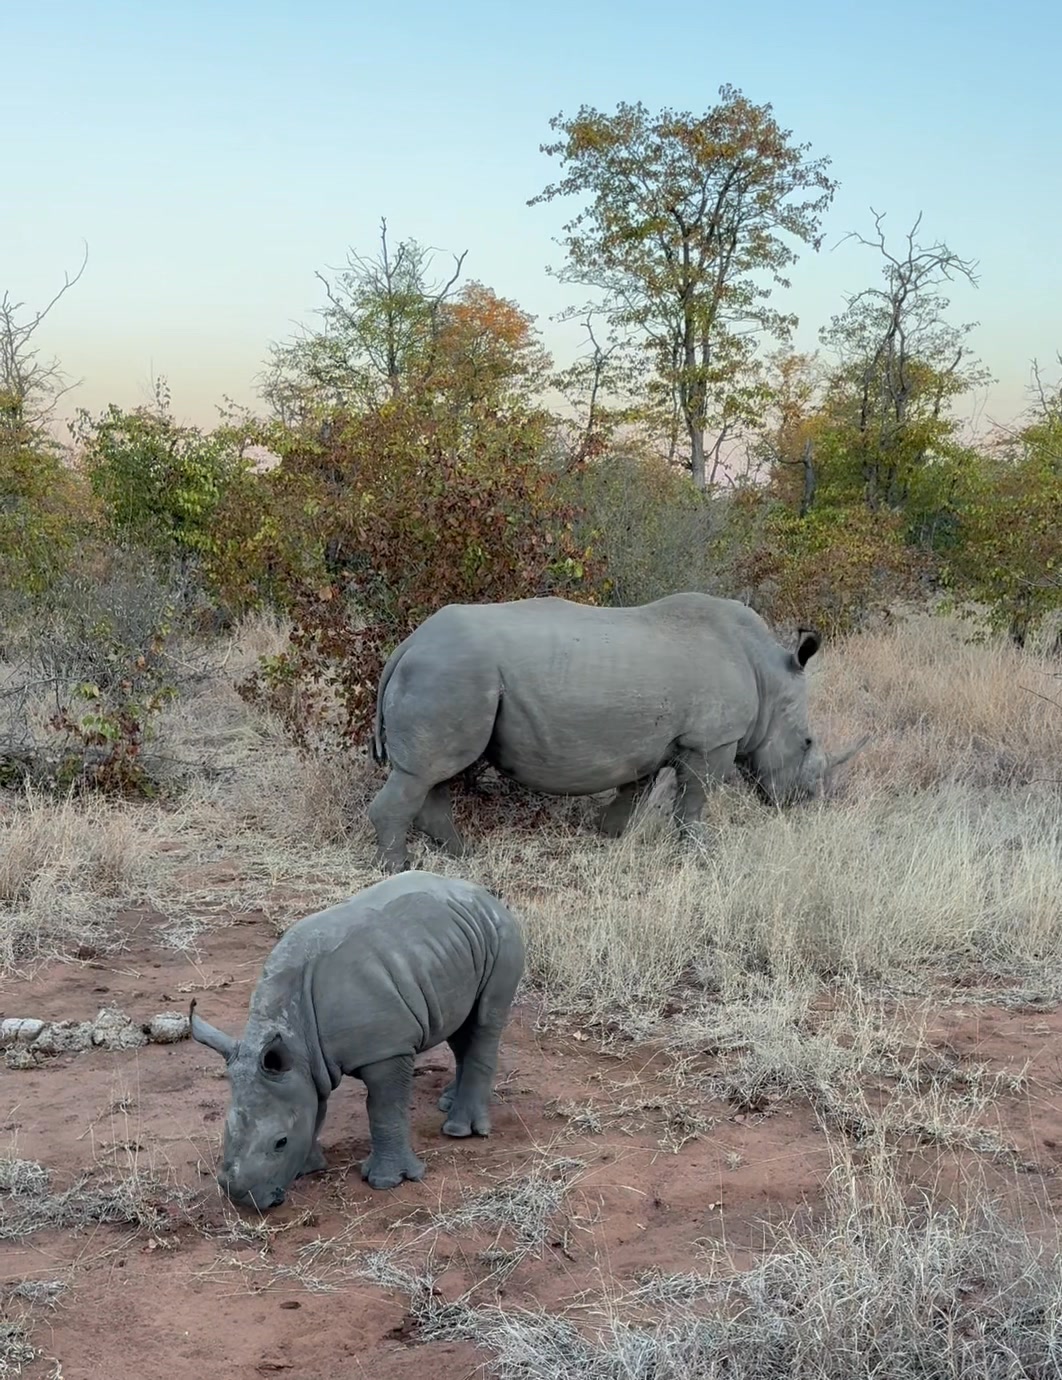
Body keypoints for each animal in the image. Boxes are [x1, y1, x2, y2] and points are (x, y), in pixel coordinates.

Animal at [190, 870, 525, 1211]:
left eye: (280, 1142)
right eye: (225, 1131)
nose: (241, 1198)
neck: (295, 1032)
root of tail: (483, 894)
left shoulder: (387, 1049)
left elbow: (384, 1108)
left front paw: (387, 1182)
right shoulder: (301, 1063)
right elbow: (315, 1106)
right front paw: (308, 1168)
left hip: (502, 935)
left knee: (485, 1020)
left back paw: (460, 1132)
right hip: (453, 946)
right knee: (459, 1025)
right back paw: (447, 1103)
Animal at [368, 592, 869, 872]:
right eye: (807, 743)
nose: (804, 805)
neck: (767, 674)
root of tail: (408, 643)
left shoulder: (652, 741)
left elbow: (635, 790)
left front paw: (609, 834)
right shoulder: (712, 741)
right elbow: (696, 798)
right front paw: (699, 853)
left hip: (448, 675)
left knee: (432, 772)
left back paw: (460, 855)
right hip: (450, 672)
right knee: (426, 772)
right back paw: (399, 868)